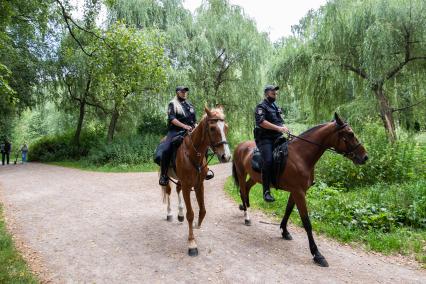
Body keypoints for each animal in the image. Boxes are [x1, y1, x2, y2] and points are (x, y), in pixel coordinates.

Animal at [161, 107, 231, 258]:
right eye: (212, 128)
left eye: (226, 127)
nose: (226, 156)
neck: (193, 154)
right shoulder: (188, 186)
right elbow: (191, 214)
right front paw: (192, 244)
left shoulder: (199, 185)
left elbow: (203, 210)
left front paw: (197, 225)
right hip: (167, 177)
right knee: (168, 192)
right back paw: (169, 214)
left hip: (181, 181)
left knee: (177, 190)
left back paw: (180, 214)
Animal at [231, 112, 368, 266]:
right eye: (350, 134)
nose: (365, 157)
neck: (300, 156)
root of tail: (240, 146)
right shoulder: (299, 193)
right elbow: (307, 223)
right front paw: (317, 254)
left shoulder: (296, 192)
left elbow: (288, 210)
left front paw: (284, 231)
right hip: (241, 174)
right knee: (242, 191)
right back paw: (247, 216)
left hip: (254, 178)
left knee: (246, 190)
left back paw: (244, 207)